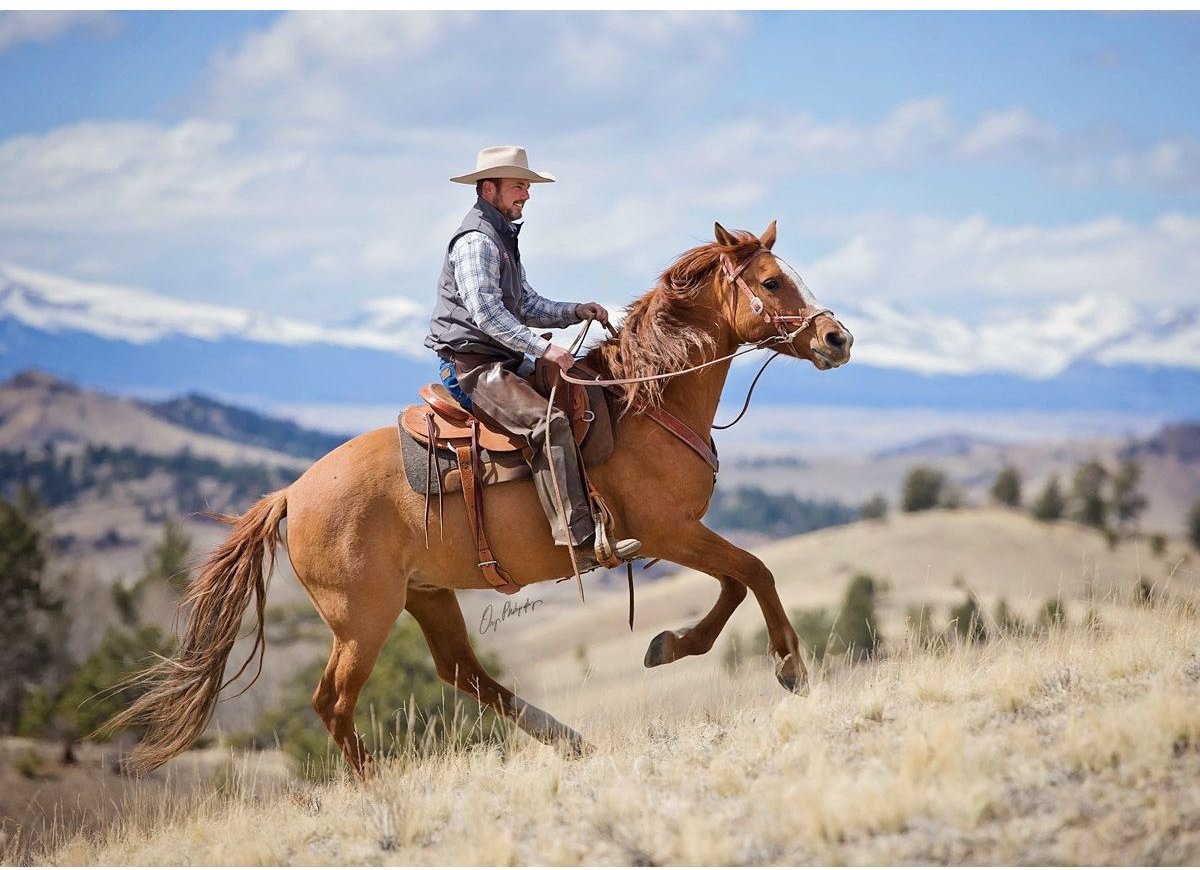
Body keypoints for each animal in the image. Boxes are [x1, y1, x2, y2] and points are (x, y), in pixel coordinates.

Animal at [105, 220, 854, 777]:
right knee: (333, 702)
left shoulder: (678, 534)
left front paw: (670, 645)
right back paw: (380, 787)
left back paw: (569, 741)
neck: (647, 399)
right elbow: (755, 571)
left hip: (427, 594)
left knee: (461, 672)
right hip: (362, 618)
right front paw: (790, 667)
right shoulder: (668, 531)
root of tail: (292, 493)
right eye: (771, 281)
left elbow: (735, 583)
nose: (837, 337)